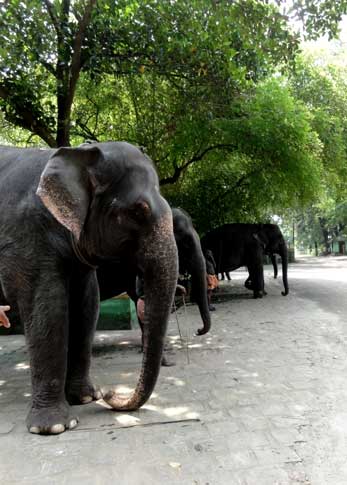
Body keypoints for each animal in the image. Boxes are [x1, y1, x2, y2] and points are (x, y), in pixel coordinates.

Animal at [0, 142, 178, 432]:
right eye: (137, 211)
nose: (108, 393)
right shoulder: (27, 239)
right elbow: (47, 307)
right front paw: (54, 427)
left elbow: (87, 305)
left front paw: (84, 398)